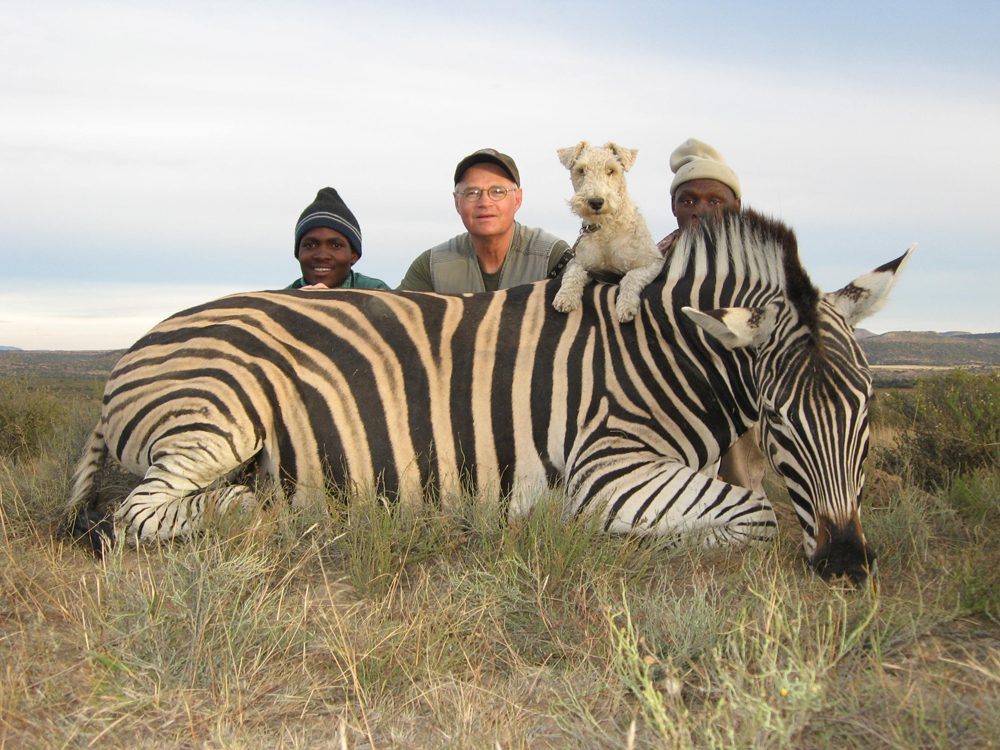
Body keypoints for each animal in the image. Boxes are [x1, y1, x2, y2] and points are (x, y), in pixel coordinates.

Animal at [67, 209, 911, 581]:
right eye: (778, 420)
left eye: (867, 411)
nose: (847, 563)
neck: (662, 357)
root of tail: (133, 353)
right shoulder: (610, 468)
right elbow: (756, 515)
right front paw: (603, 534)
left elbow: (753, 510)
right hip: (220, 419)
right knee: (139, 516)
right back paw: (274, 516)